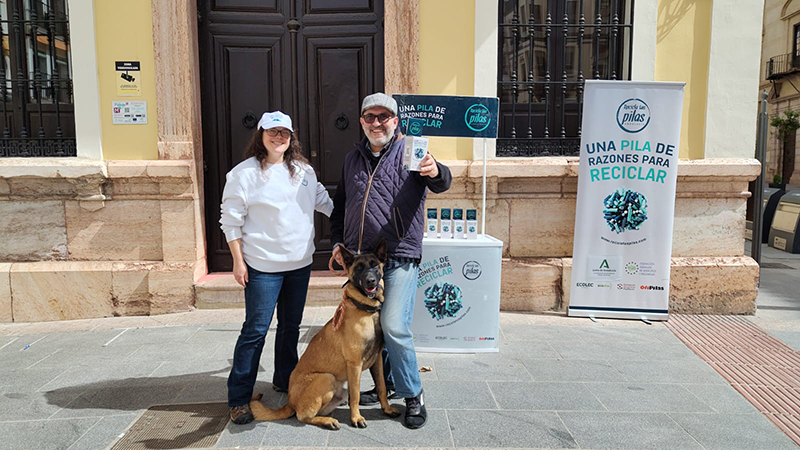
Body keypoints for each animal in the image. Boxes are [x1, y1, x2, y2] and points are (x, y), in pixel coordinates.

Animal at [249, 239, 400, 429]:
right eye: (359, 268)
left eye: (375, 266)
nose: (371, 281)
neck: (366, 310)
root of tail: (290, 401)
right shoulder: (354, 365)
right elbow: (356, 395)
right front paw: (356, 418)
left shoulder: (377, 360)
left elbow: (381, 387)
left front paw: (386, 409)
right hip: (326, 378)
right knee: (302, 416)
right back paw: (328, 421)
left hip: (338, 389)